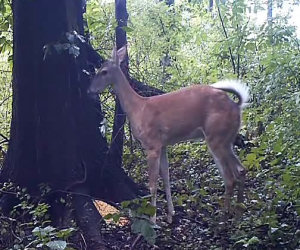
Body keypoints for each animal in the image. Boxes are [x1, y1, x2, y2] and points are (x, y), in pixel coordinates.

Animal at [88, 46, 250, 224]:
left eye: (104, 71)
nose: (89, 90)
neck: (138, 109)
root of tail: (237, 105)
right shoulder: (163, 144)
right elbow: (166, 177)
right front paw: (170, 215)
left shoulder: (152, 144)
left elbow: (153, 183)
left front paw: (153, 219)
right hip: (226, 139)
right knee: (241, 170)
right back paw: (239, 214)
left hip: (216, 137)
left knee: (229, 178)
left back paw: (223, 218)